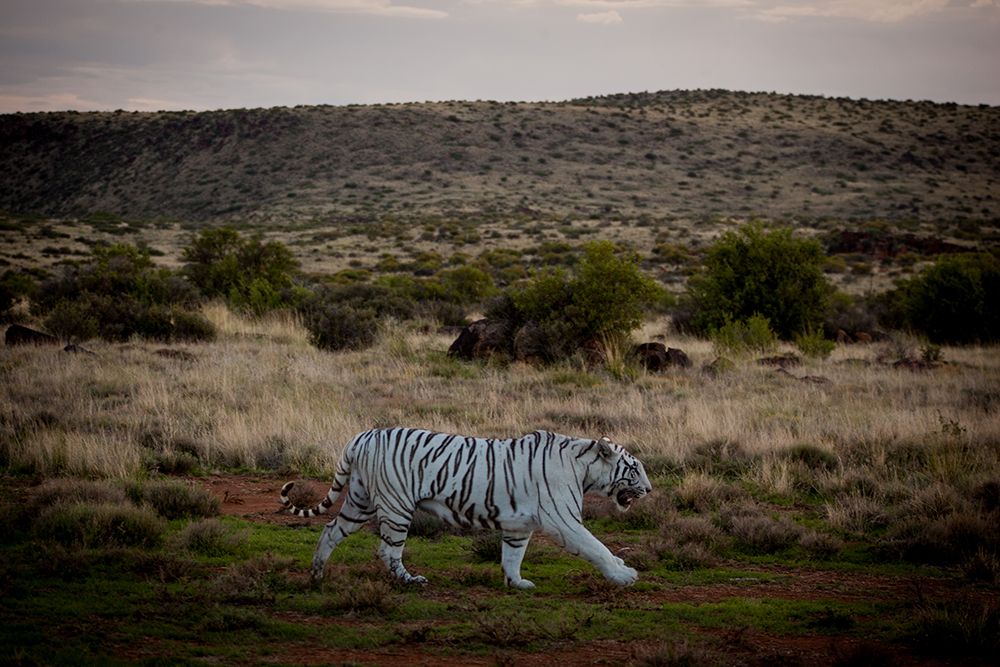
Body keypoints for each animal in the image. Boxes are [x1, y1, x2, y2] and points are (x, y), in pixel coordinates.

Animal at [279, 427, 652, 588]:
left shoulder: (518, 526)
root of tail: (362, 436)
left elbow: (512, 556)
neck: (585, 469)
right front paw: (624, 575)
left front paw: (517, 583)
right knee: (388, 552)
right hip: (396, 506)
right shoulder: (565, 521)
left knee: (331, 530)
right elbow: (597, 547)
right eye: (634, 469)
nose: (649, 489)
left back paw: (316, 574)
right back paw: (411, 580)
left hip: (359, 502)